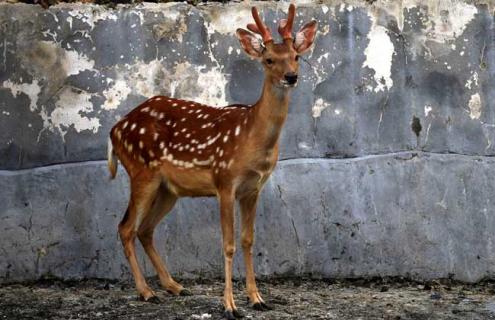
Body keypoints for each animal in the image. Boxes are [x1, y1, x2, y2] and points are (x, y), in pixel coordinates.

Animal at [108, 3, 318, 318]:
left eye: (296, 56)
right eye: (268, 59)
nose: (291, 76)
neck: (251, 137)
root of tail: (115, 129)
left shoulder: (253, 188)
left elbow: (248, 240)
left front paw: (257, 298)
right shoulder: (224, 181)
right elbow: (228, 244)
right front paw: (229, 305)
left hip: (168, 189)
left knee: (145, 229)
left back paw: (174, 286)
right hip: (141, 171)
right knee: (126, 228)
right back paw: (146, 292)